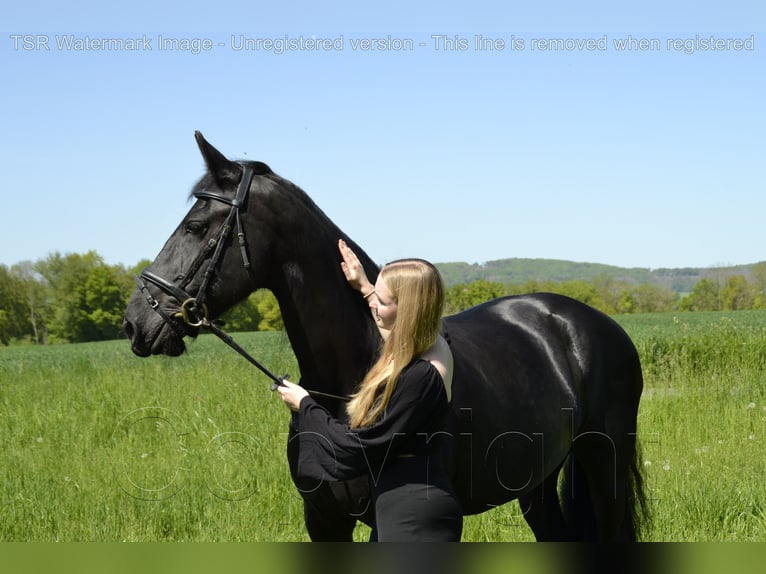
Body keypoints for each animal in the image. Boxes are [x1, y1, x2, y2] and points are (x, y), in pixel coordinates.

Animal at [124, 133, 648, 544]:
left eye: (196, 226)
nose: (136, 320)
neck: (351, 381)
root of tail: (584, 321)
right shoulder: (324, 519)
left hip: (605, 464)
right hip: (538, 480)